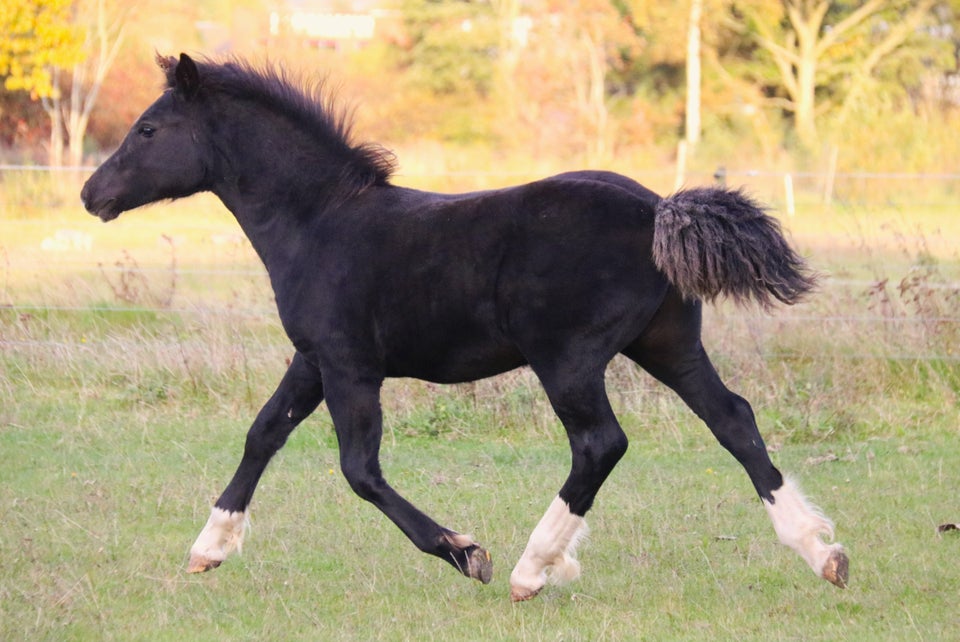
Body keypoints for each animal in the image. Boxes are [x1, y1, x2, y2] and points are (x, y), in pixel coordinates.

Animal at [82, 53, 848, 600]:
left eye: (148, 129)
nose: (92, 194)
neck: (318, 222)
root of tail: (657, 208)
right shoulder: (312, 359)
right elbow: (263, 433)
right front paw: (208, 548)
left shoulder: (348, 364)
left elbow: (358, 468)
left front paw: (463, 551)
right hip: (668, 344)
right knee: (733, 419)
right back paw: (823, 552)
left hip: (568, 360)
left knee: (600, 444)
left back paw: (531, 569)